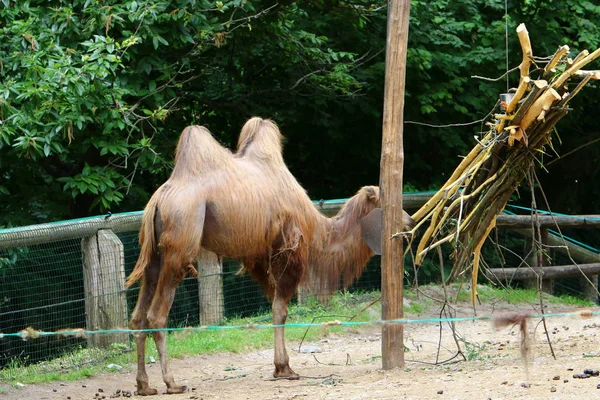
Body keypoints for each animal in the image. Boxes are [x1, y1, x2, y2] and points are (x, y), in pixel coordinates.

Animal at [126, 117, 414, 396]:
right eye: (389, 202)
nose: (410, 221)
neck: (318, 228)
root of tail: (158, 201)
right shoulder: (288, 250)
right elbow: (280, 310)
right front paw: (284, 368)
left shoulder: (261, 255)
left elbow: (275, 304)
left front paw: (280, 367)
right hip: (181, 239)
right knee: (157, 315)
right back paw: (172, 383)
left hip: (154, 255)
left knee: (138, 315)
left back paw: (144, 385)